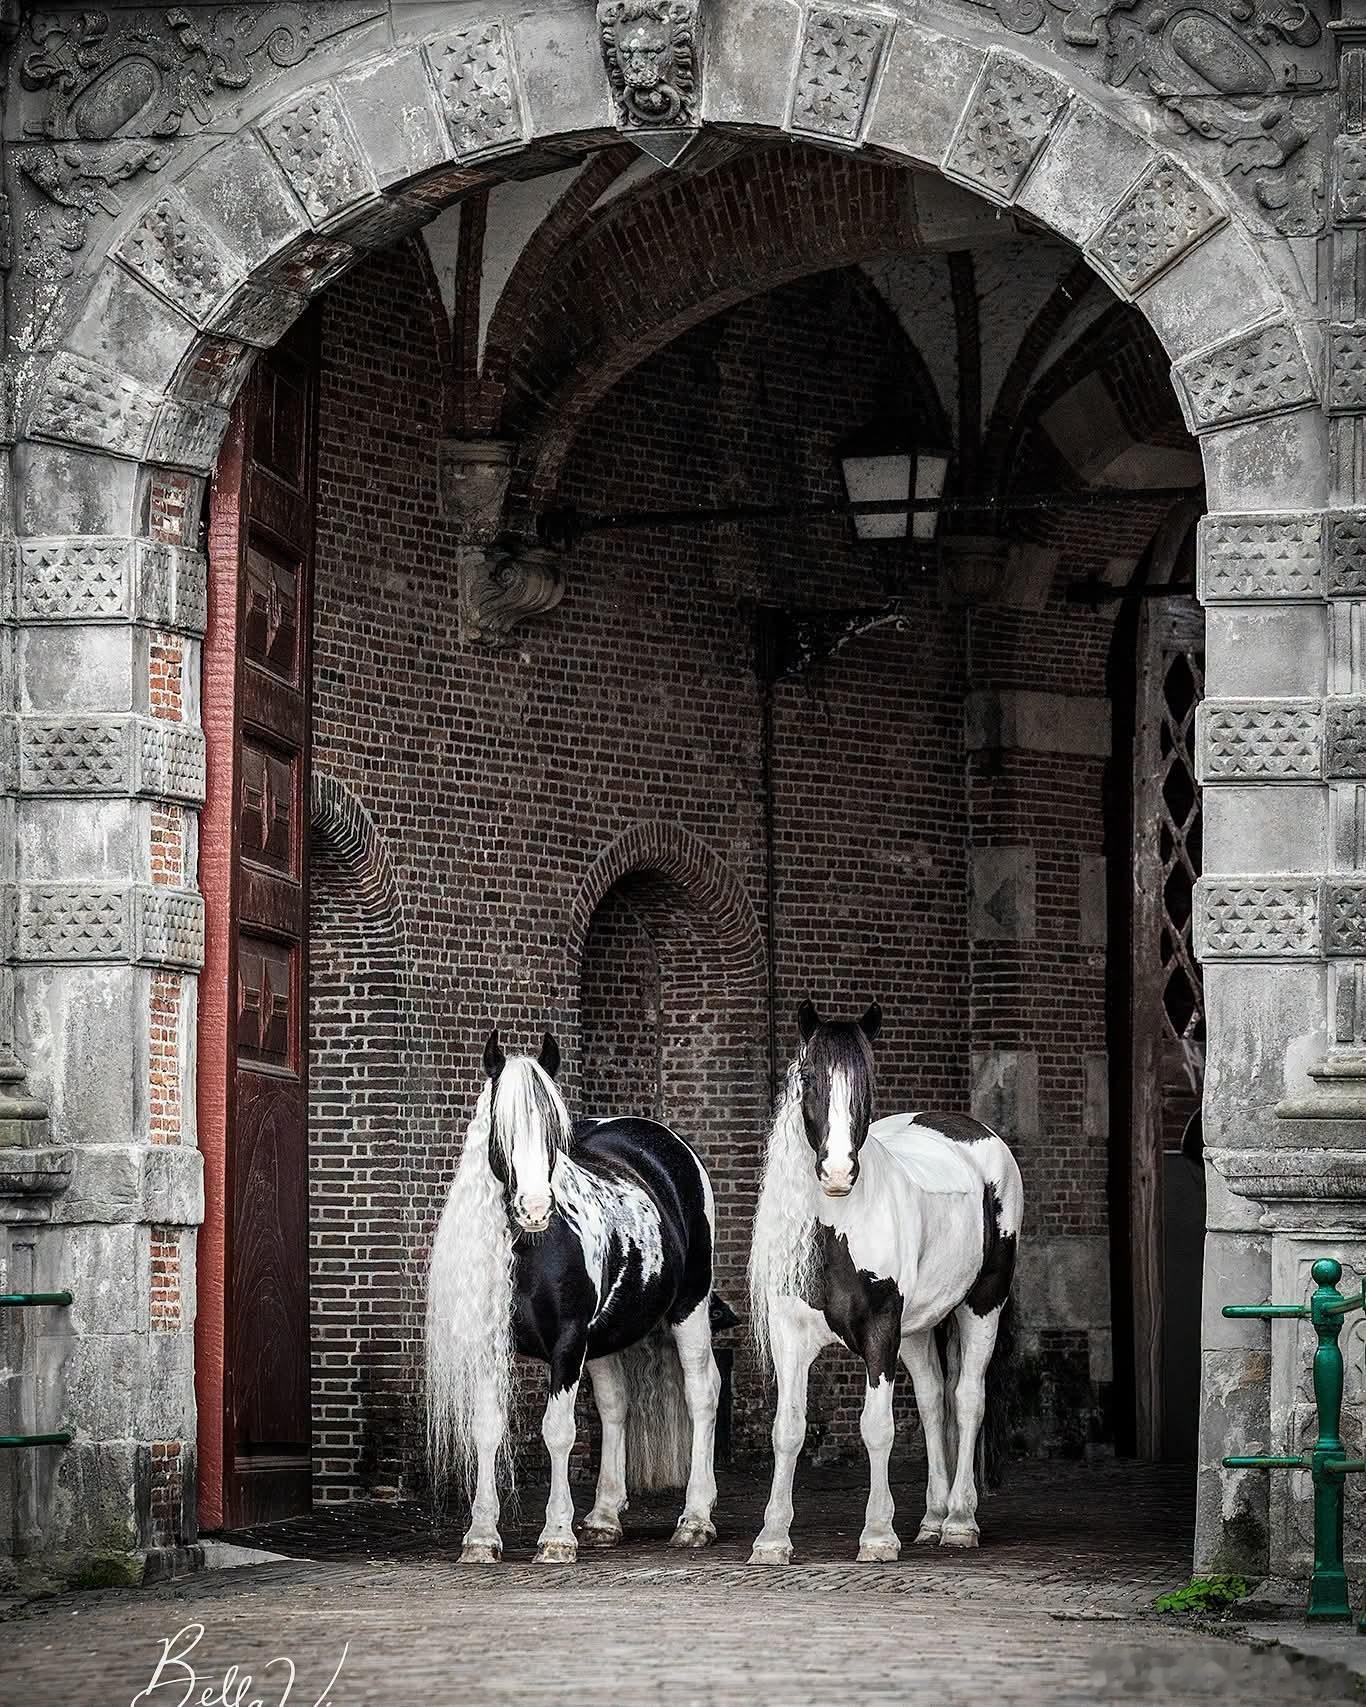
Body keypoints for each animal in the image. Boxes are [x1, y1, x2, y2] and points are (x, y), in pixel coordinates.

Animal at [425, 1028, 726, 1563]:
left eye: (554, 1133)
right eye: (501, 1130)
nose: (535, 1209)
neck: (527, 1250)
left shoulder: (567, 1342)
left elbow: (558, 1432)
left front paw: (556, 1537)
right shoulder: (491, 1347)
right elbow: (487, 1427)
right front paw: (481, 1537)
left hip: (688, 1309)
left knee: (701, 1394)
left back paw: (695, 1520)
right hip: (603, 1339)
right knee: (615, 1406)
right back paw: (605, 1519)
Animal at [747, 1000, 1023, 1564]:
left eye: (867, 1080)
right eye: (809, 1078)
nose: (836, 1173)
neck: (836, 1230)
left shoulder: (879, 1328)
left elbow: (876, 1427)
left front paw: (877, 1535)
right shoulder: (790, 1335)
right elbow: (788, 1429)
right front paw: (772, 1538)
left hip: (981, 1306)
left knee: (968, 1398)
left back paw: (959, 1521)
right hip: (915, 1329)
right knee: (934, 1400)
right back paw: (934, 1519)